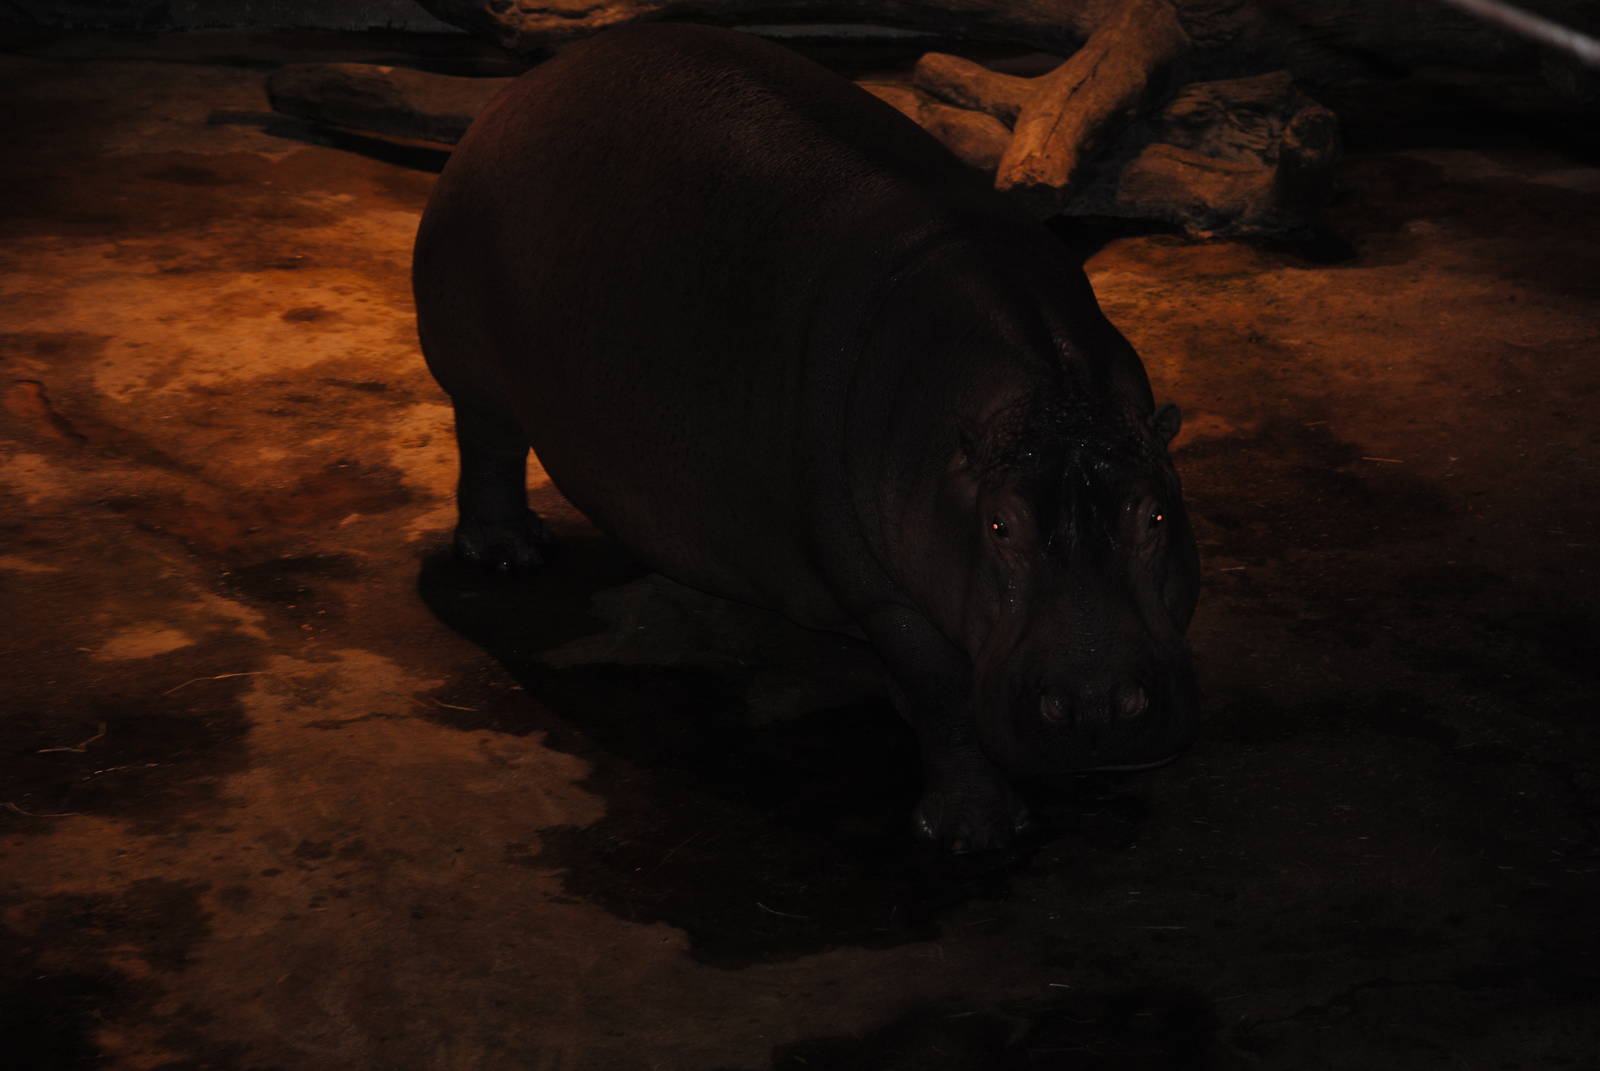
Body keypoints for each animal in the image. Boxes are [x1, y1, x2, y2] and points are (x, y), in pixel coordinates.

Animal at [413, 24, 1200, 851]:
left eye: (1155, 513)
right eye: (999, 525)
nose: (1098, 705)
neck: (1050, 399)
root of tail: (528, 86)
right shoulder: (881, 590)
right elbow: (944, 693)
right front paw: (972, 833)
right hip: (470, 362)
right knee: (489, 447)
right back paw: (511, 554)